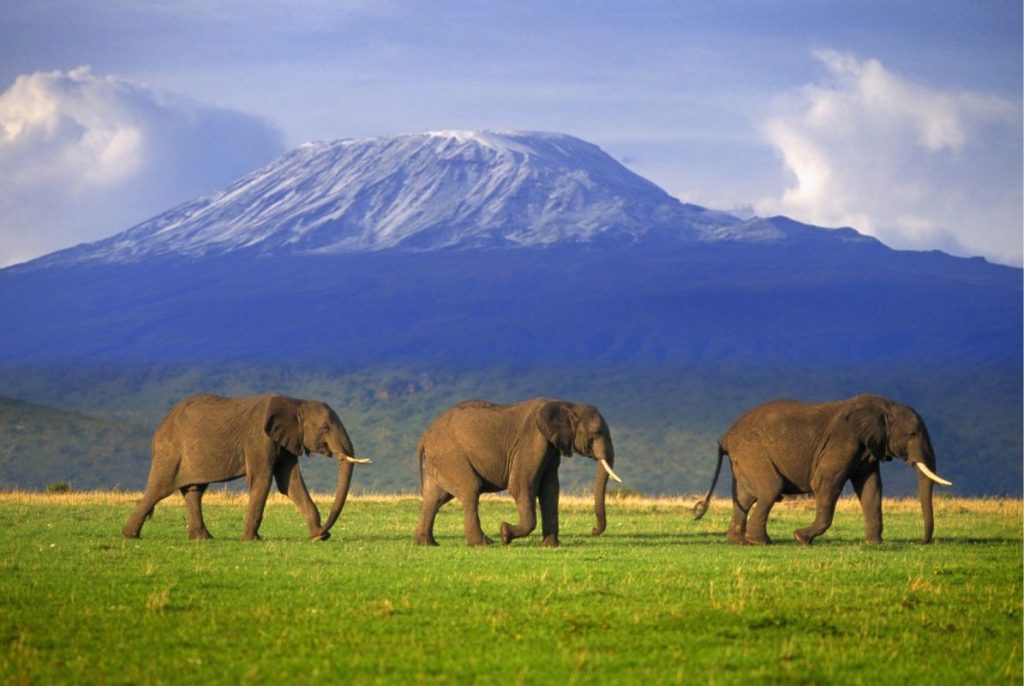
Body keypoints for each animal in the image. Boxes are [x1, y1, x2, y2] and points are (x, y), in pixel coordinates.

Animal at [122, 397, 372, 544]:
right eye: (325, 428)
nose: (324, 532)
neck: (295, 403)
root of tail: (159, 427)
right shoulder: (259, 440)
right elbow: (263, 480)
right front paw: (252, 540)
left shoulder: (286, 442)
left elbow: (290, 483)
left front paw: (317, 537)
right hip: (170, 451)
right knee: (160, 488)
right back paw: (130, 536)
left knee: (194, 491)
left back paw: (203, 538)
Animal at [411, 397, 618, 548]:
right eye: (597, 433)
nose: (593, 530)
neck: (565, 404)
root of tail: (425, 436)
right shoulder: (532, 442)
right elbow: (521, 486)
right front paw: (505, 533)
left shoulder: (551, 448)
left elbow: (550, 491)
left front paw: (551, 546)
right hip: (451, 456)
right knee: (470, 490)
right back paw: (483, 543)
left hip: (441, 459)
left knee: (434, 497)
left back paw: (427, 543)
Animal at [692, 393, 946, 548]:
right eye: (912, 434)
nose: (919, 543)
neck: (883, 406)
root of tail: (725, 436)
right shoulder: (843, 442)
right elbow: (826, 483)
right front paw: (800, 538)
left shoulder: (867, 449)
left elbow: (871, 488)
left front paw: (874, 544)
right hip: (753, 451)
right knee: (770, 490)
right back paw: (761, 542)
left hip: (745, 457)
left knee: (745, 497)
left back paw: (740, 542)